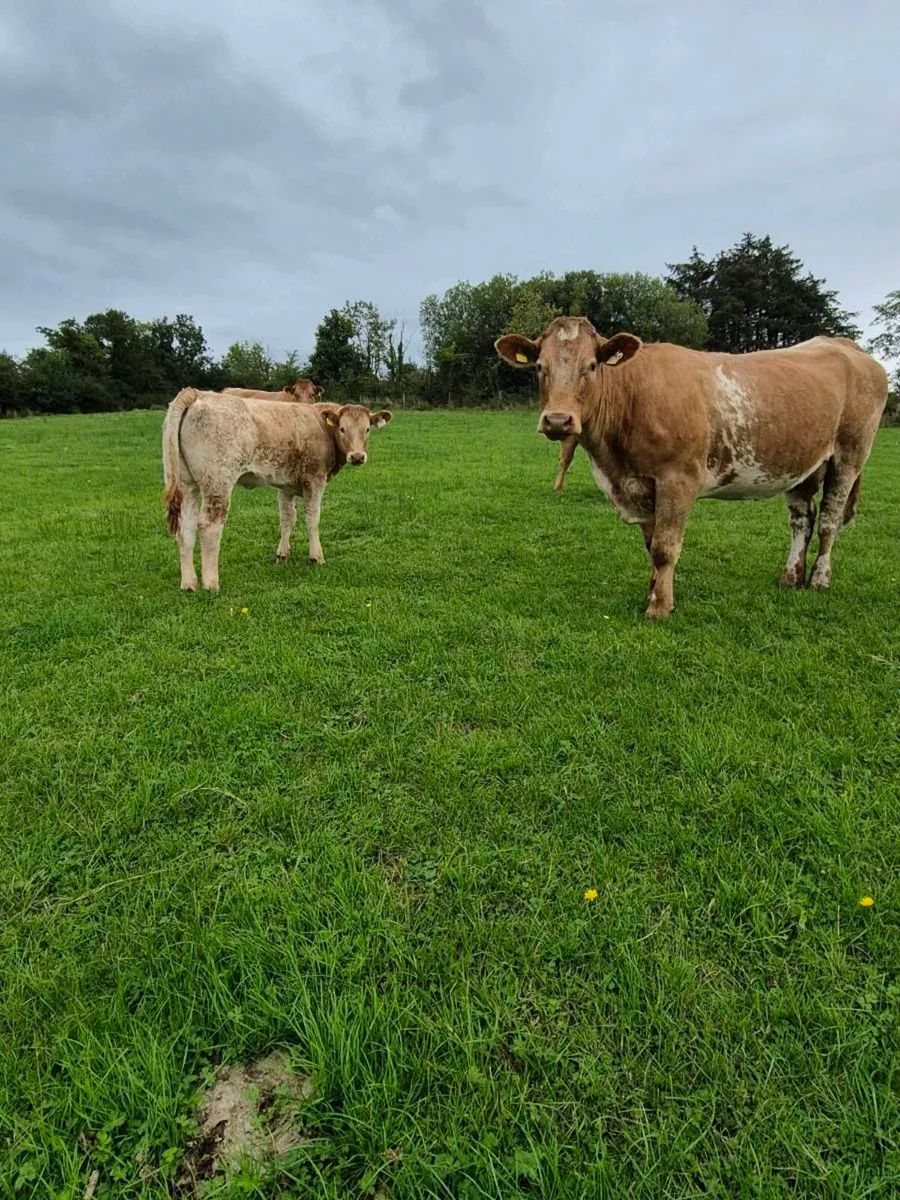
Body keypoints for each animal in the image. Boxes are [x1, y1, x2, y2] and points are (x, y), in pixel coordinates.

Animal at [162, 388, 391, 591]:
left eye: (367, 429)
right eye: (342, 429)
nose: (357, 456)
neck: (321, 426)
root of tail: (196, 393)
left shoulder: (285, 485)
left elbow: (287, 518)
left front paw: (282, 555)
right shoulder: (315, 479)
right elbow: (312, 518)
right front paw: (316, 556)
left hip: (187, 485)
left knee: (186, 527)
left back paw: (189, 584)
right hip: (217, 482)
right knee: (209, 526)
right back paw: (211, 584)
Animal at [495, 317, 888, 620]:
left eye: (591, 365)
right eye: (540, 367)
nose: (558, 421)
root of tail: (842, 343)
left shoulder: (678, 478)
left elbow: (665, 547)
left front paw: (659, 608)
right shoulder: (640, 485)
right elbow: (651, 545)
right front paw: (653, 592)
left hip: (850, 455)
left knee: (829, 521)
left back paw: (819, 580)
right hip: (802, 464)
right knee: (801, 521)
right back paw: (791, 577)